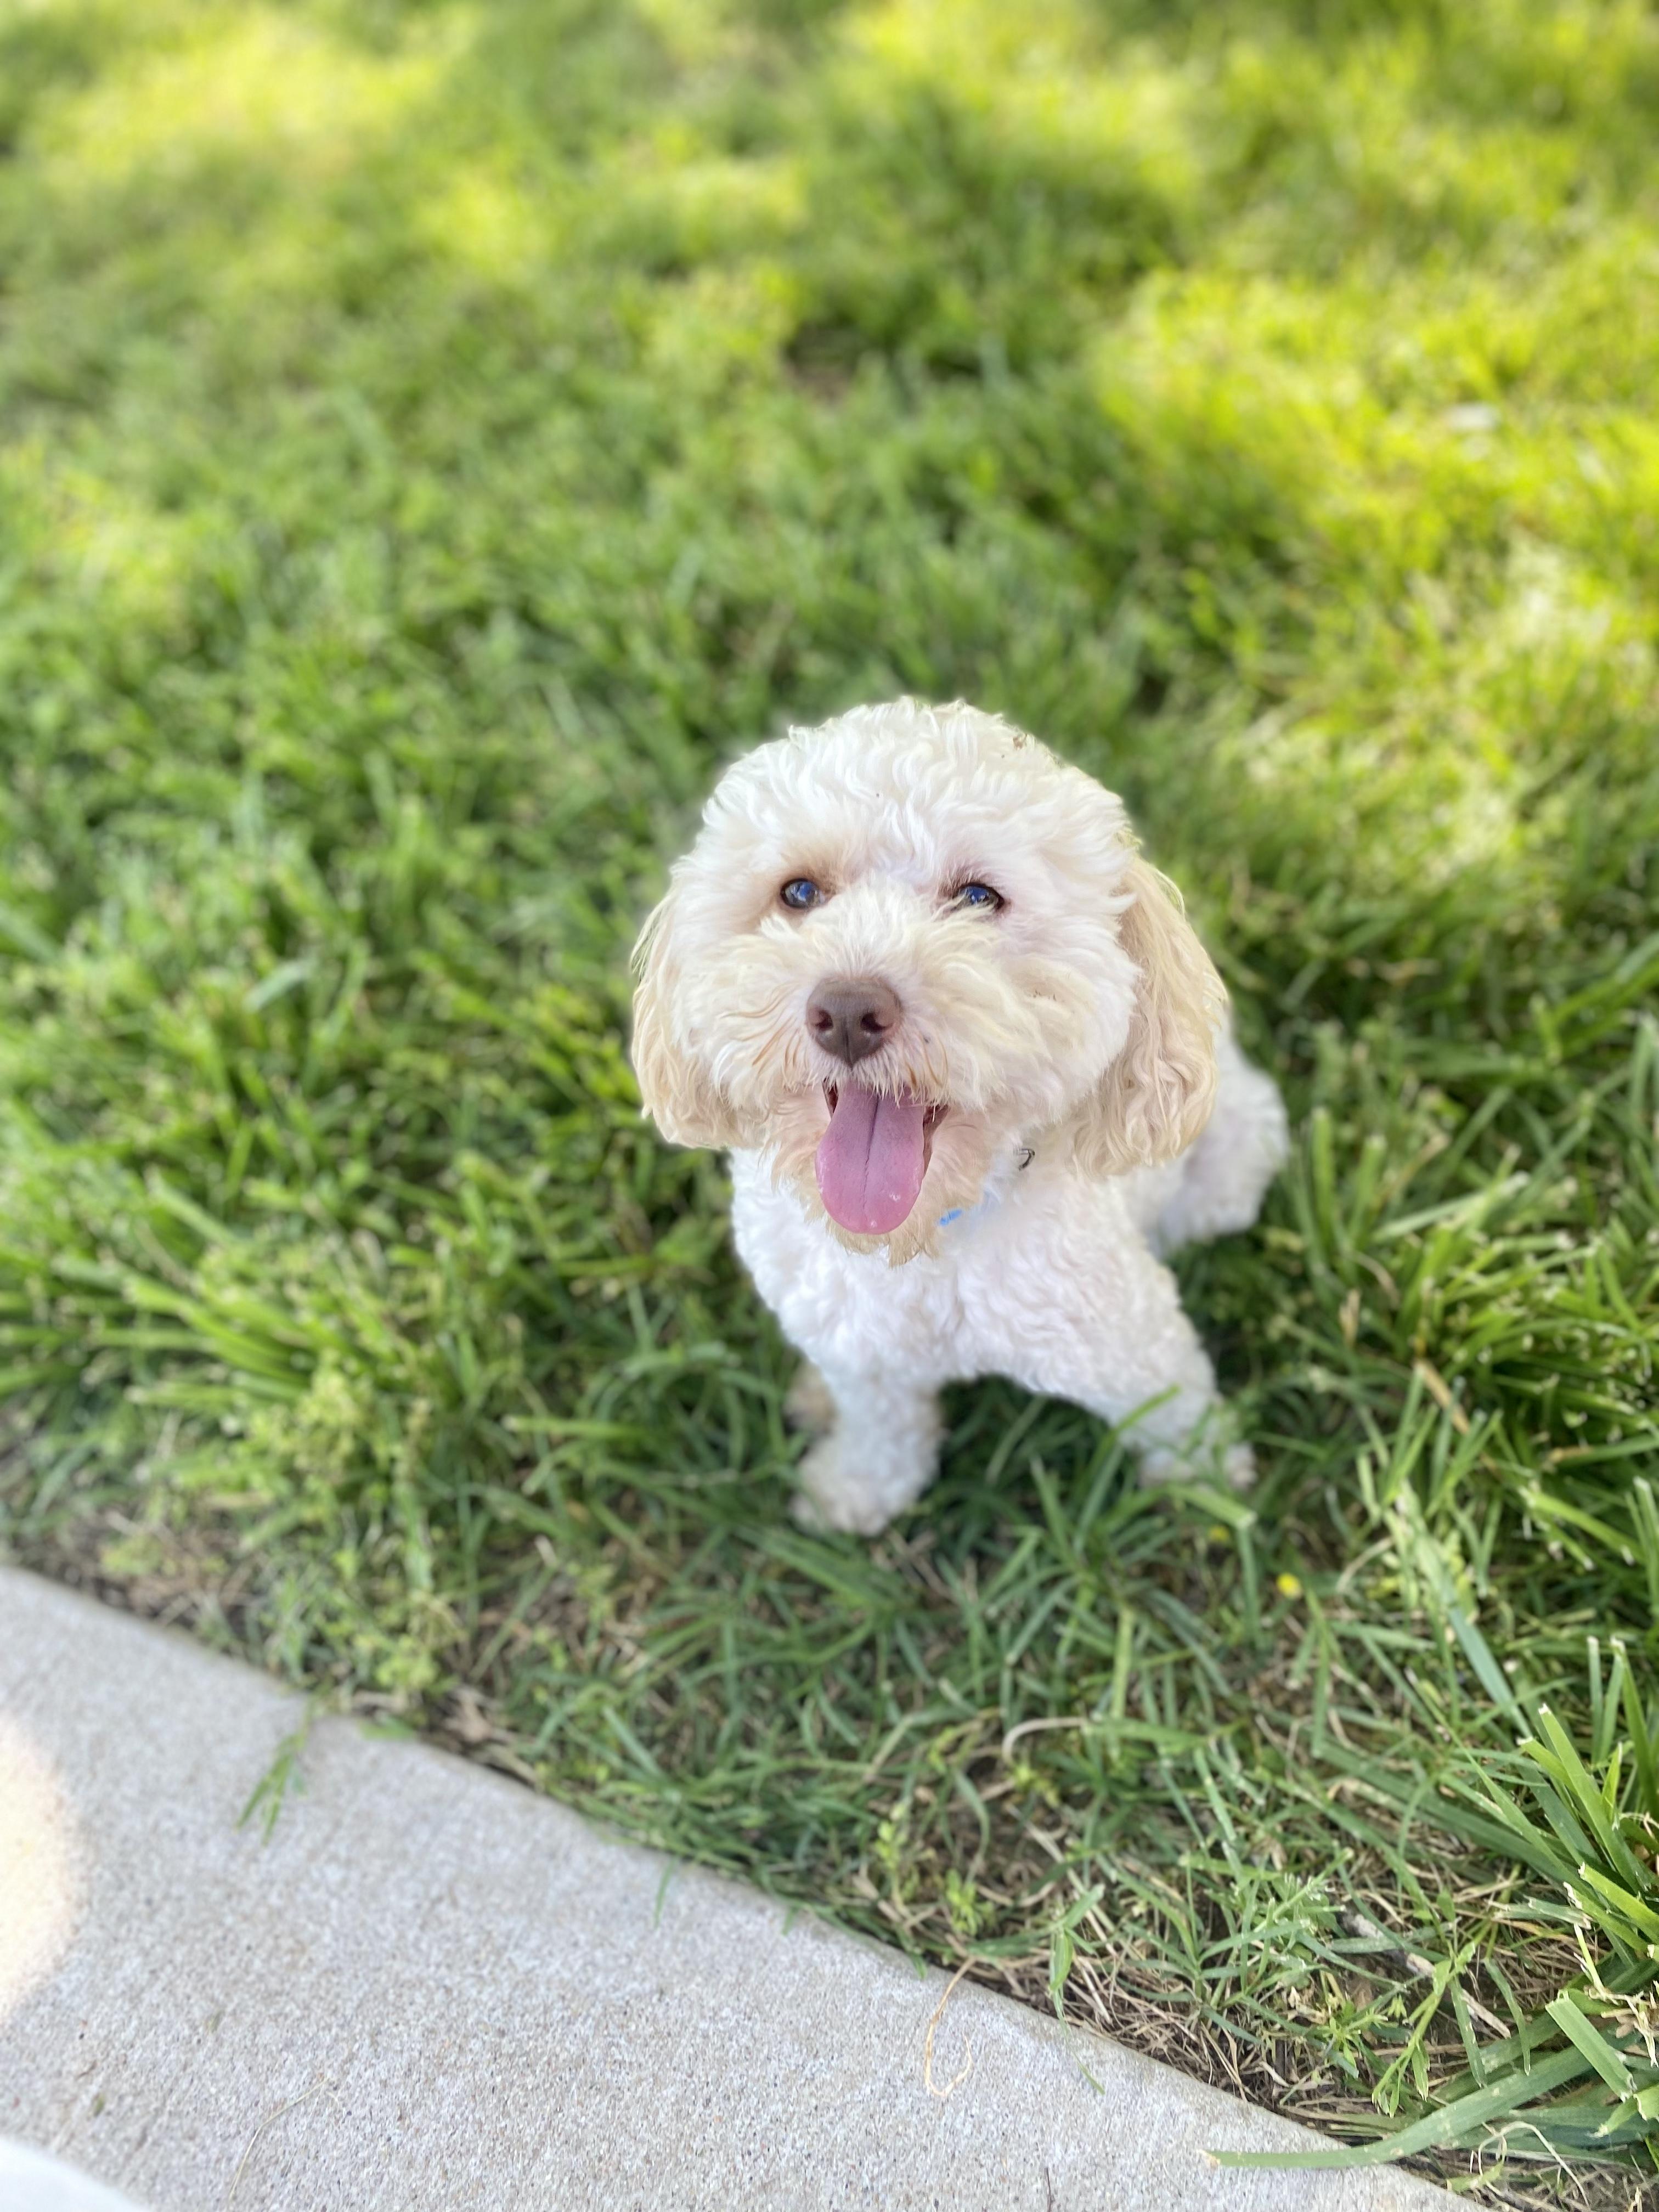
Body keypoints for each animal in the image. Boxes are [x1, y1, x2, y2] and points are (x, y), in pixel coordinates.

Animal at [631, 699, 1288, 1534]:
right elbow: (883, 1430)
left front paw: (1209, 1495)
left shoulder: (1138, 1349)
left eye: (979, 898)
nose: (848, 1012)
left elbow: (1182, 1419)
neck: (924, 1237)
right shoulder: (861, 1357)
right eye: (799, 893)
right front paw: (854, 1491)